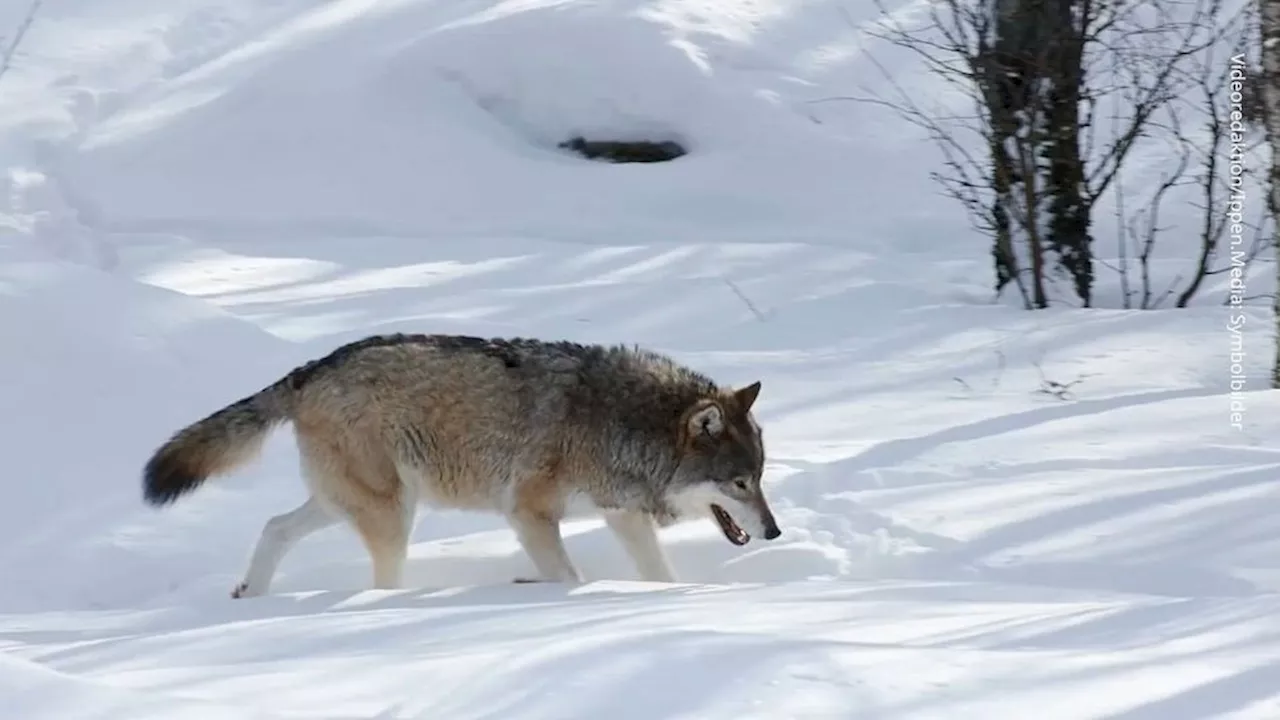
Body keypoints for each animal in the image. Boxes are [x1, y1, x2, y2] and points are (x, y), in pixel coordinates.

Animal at [140, 330, 778, 594]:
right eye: (739, 482)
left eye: (760, 478)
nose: (774, 532)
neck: (620, 424)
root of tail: (308, 370)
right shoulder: (527, 512)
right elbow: (568, 577)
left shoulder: (621, 514)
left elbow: (659, 575)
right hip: (392, 513)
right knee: (379, 580)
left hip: (348, 503)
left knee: (274, 527)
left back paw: (250, 594)